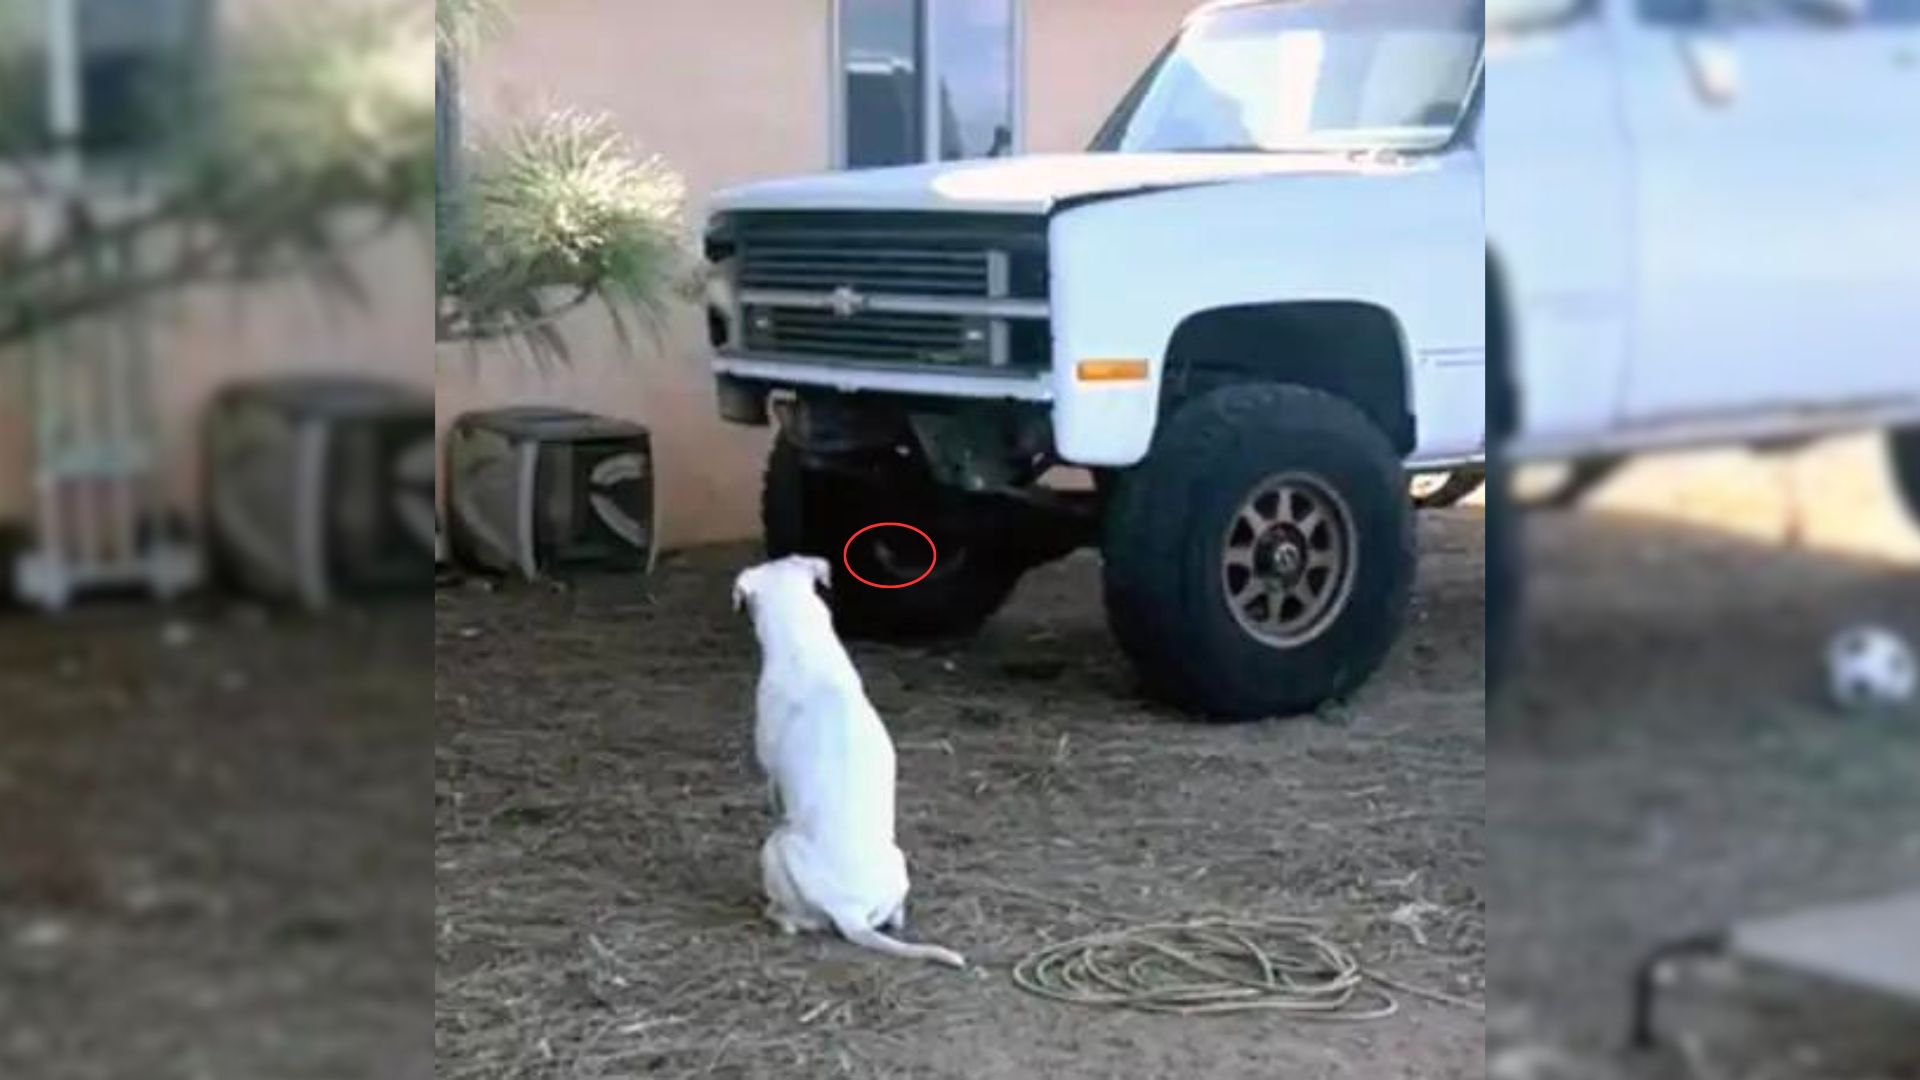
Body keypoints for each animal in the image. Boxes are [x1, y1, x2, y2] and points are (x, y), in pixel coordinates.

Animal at [733, 553, 967, 968]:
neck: (804, 643)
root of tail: (849, 911)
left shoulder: (771, 773)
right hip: (898, 860)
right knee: (894, 914)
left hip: (775, 849)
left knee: (793, 920)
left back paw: (775, 914)